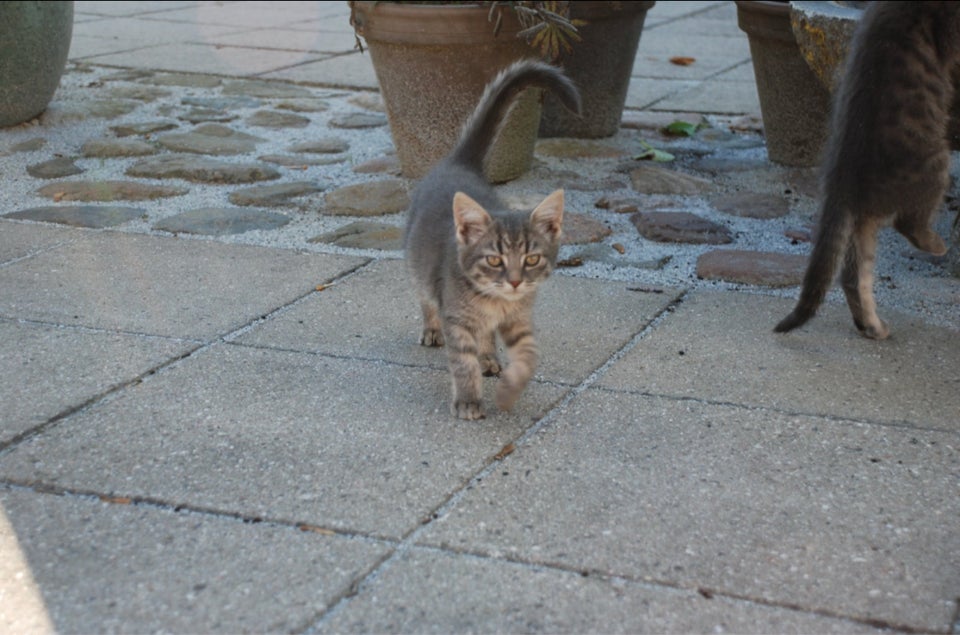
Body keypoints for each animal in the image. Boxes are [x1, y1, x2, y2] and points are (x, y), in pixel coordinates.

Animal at [404, 59, 576, 420]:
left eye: (531, 259)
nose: (514, 281)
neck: (496, 302)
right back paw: (432, 330)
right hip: (418, 266)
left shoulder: (519, 319)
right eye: (494, 259)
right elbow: (462, 362)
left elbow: (528, 354)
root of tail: (457, 165)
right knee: (425, 297)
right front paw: (469, 400)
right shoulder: (457, 319)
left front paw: (510, 390)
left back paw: (488, 357)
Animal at [776, 2, 956, 340]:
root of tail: (841, 185)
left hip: (861, 227)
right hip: (936, 162)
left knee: (852, 277)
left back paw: (872, 326)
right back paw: (937, 245)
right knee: (908, 223)